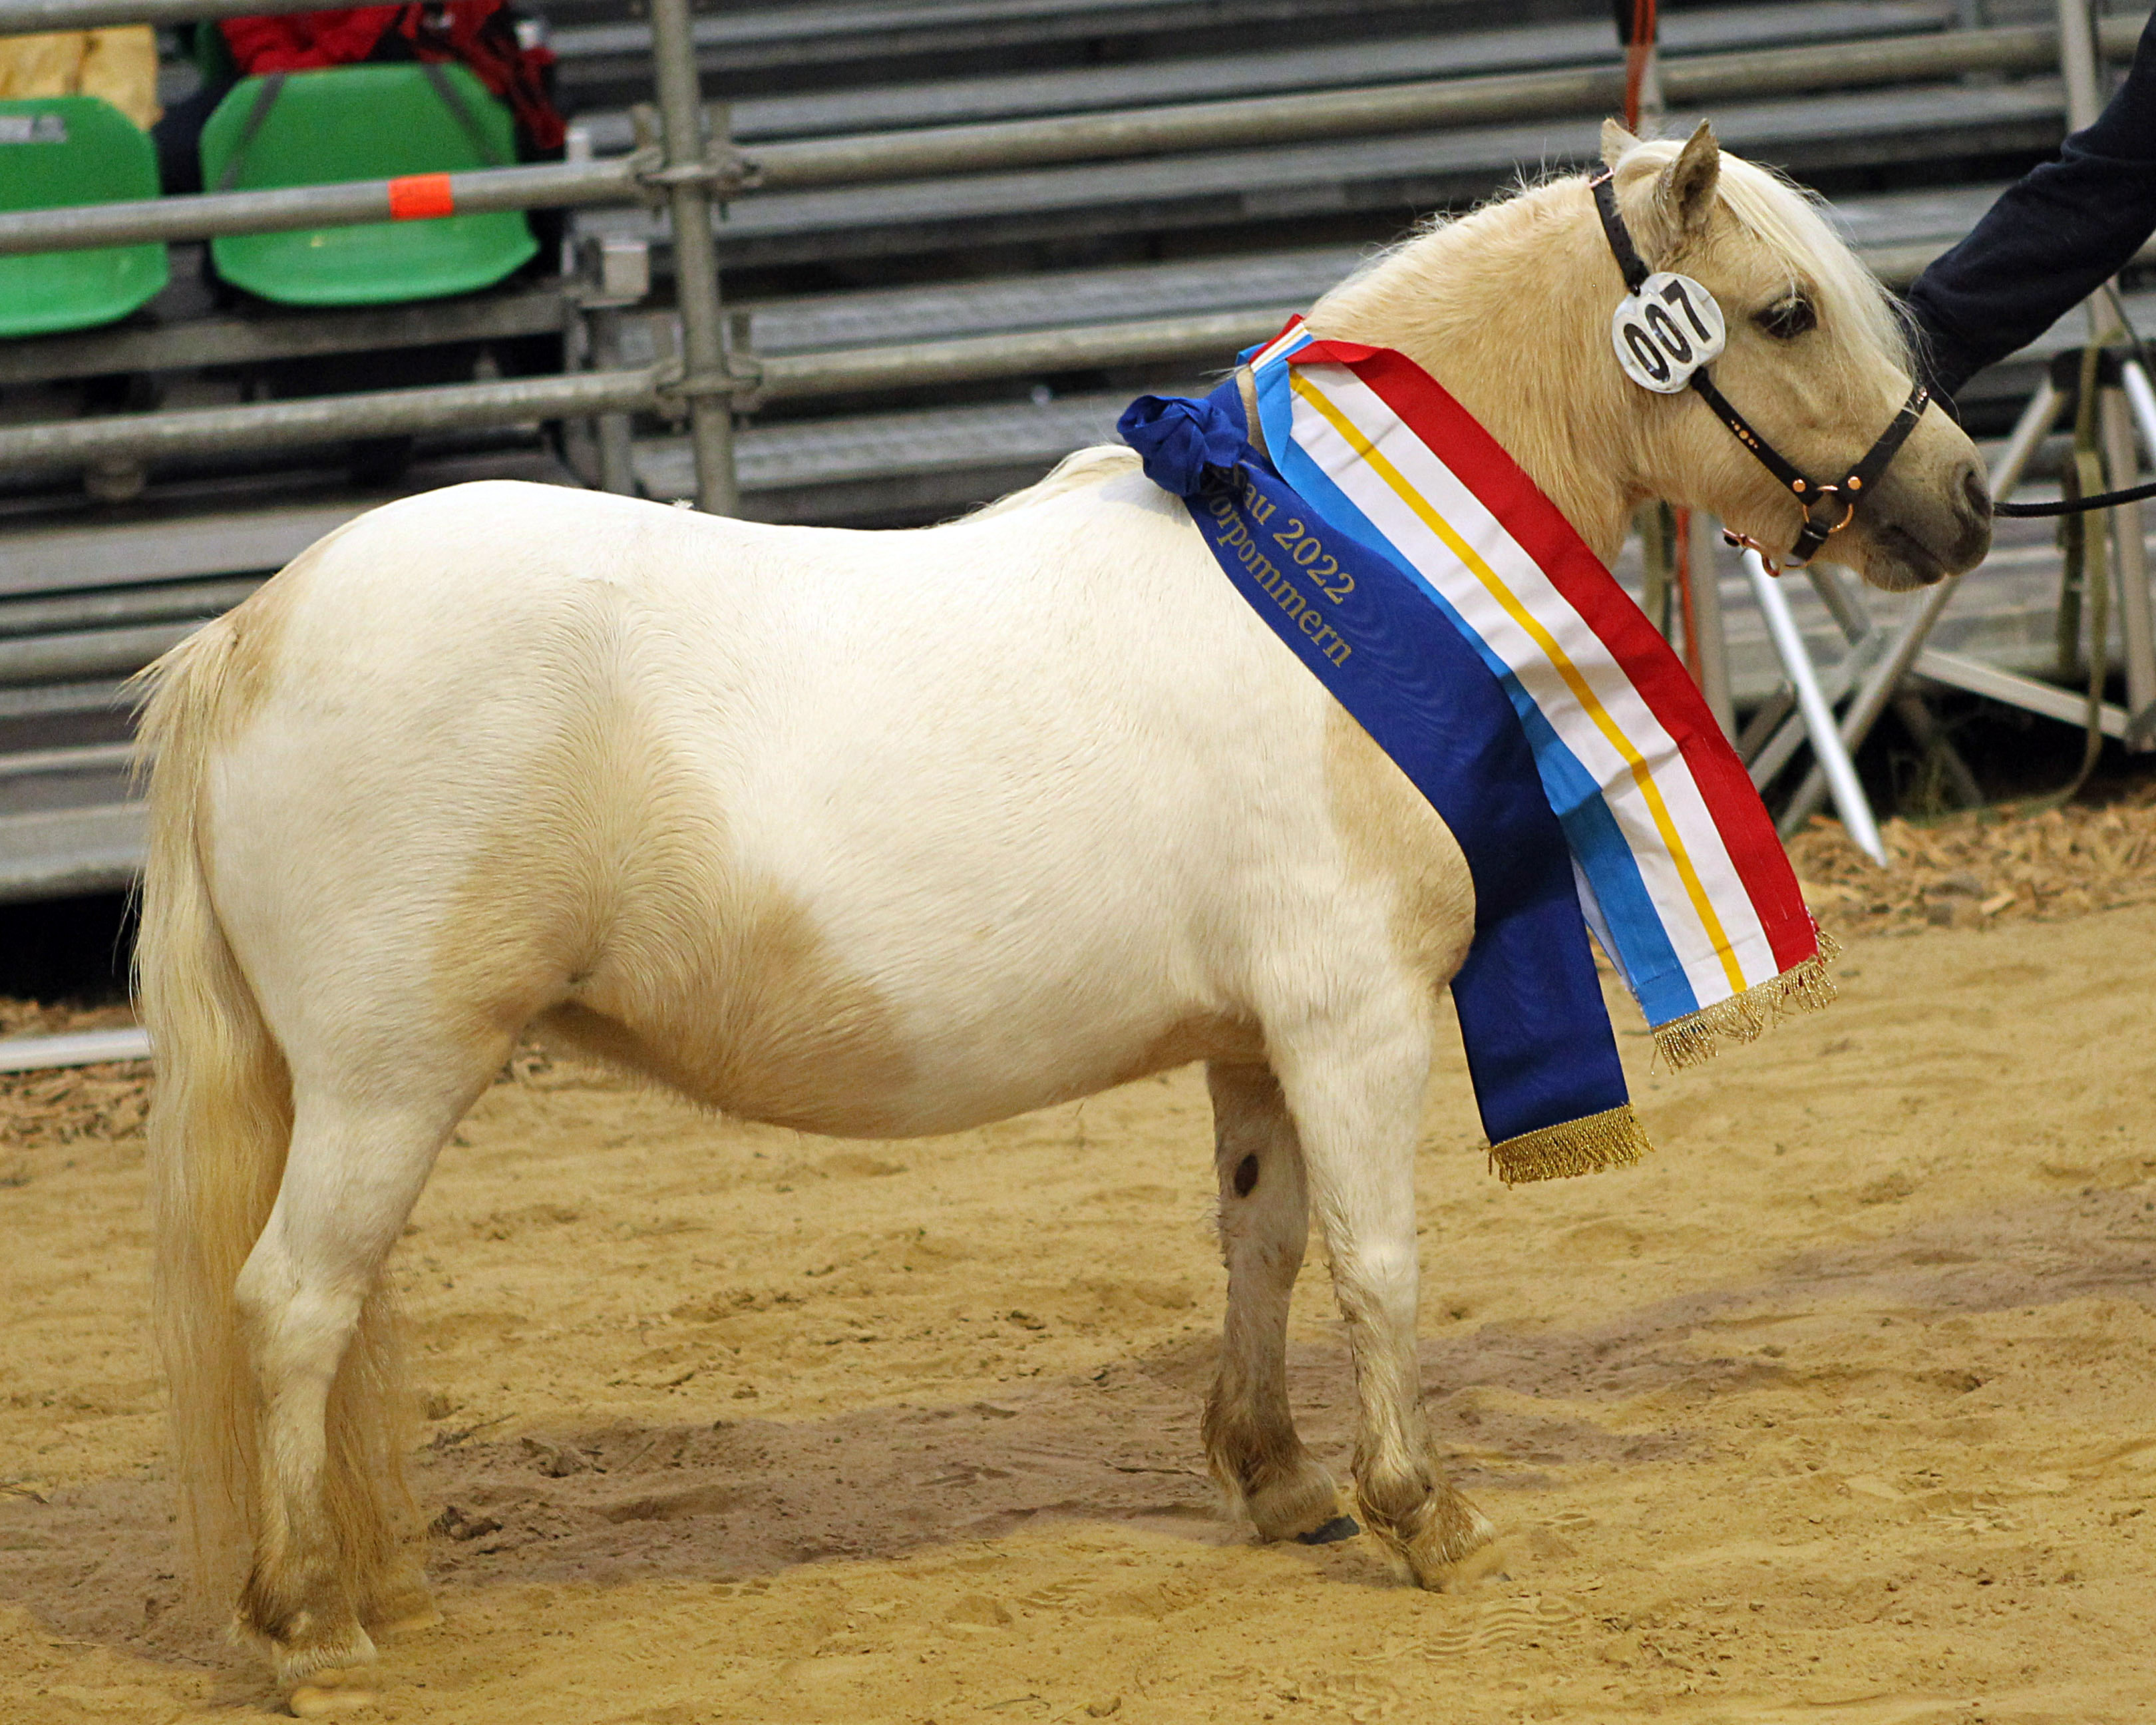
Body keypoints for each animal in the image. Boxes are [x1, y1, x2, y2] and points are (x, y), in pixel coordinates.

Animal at [134, 124, 1983, 1708]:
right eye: (1787, 309)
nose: (1959, 503)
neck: (1367, 560)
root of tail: (253, 632)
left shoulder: (1257, 1040)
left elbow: (1262, 1242)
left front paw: (1280, 1483)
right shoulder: (1355, 1015)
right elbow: (1379, 1259)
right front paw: (1424, 1513)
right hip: (388, 1077)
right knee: (293, 1306)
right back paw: (312, 1631)